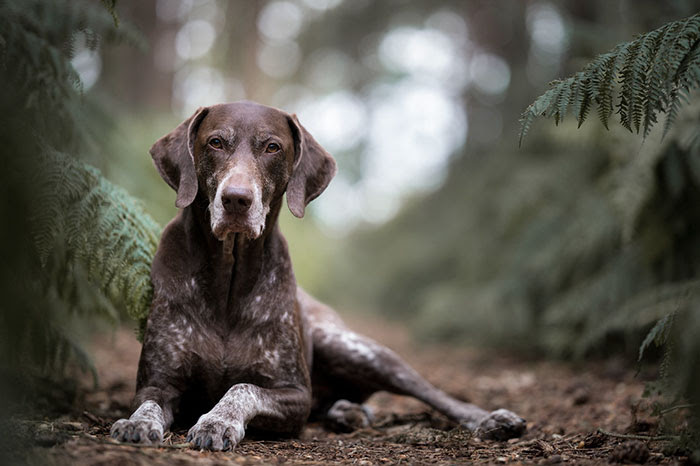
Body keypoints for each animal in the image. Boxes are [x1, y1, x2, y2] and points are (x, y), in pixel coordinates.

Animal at [109, 100, 524, 450]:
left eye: (272, 147)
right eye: (215, 142)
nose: (237, 199)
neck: (229, 275)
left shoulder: (295, 395)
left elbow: (242, 387)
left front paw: (217, 421)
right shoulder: (159, 382)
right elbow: (147, 404)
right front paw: (137, 424)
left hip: (357, 349)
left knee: (432, 392)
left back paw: (490, 419)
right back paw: (346, 412)